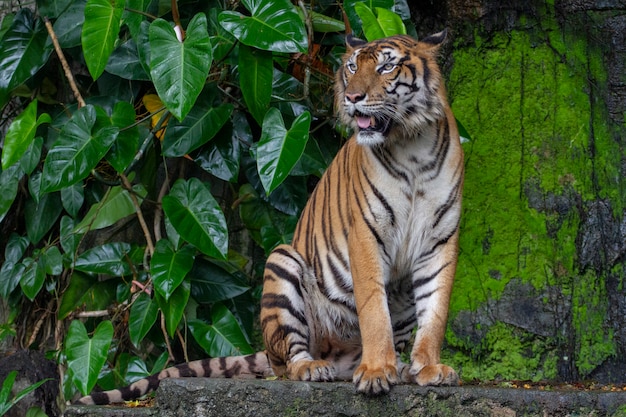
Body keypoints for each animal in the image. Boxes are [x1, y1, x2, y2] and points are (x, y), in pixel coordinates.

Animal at [75, 30, 460, 406]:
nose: (352, 97)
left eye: (386, 68)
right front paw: (377, 371)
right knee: (289, 360)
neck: (411, 147)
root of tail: (341, 358)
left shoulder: (440, 240)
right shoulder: (366, 233)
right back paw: (317, 368)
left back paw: (403, 369)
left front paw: (428, 367)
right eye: (352, 67)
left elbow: (435, 309)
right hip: (282, 263)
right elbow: (374, 310)